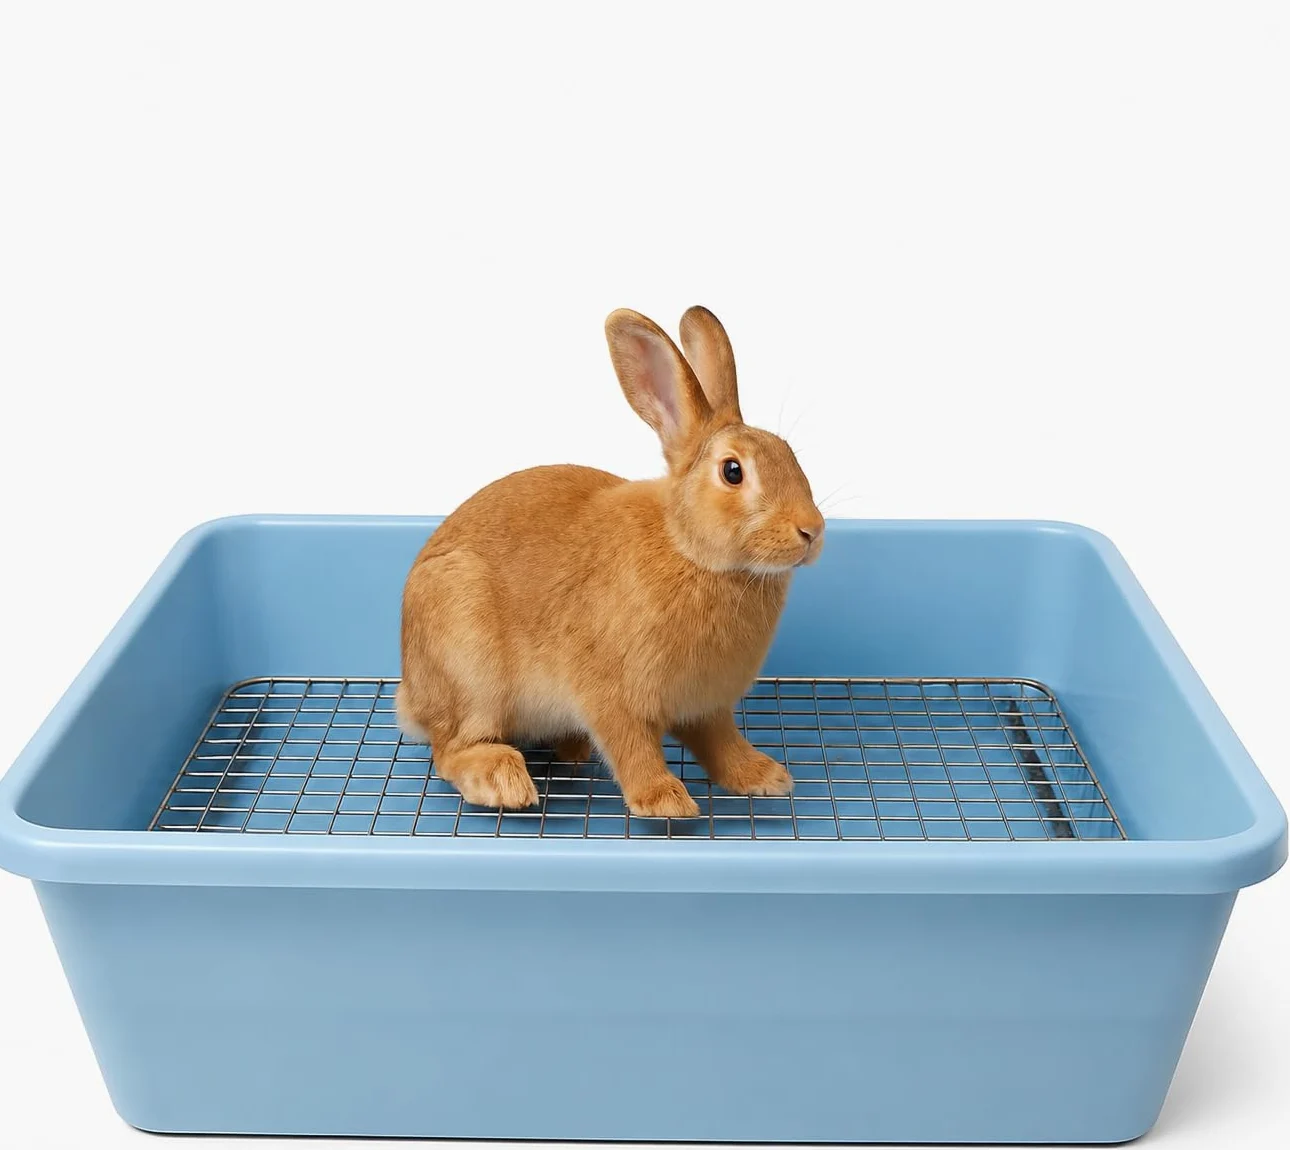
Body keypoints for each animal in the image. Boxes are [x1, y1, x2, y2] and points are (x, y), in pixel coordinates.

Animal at [397, 306, 824, 818]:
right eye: (732, 471)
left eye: (790, 454)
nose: (812, 530)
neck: (688, 549)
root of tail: (409, 692)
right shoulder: (612, 697)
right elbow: (632, 747)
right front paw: (665, 801)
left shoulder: (708, 708)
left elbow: (722, 743)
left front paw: (765, 776)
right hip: (469, 666)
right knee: (451, 749)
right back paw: (503, 781)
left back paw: (571, 748)